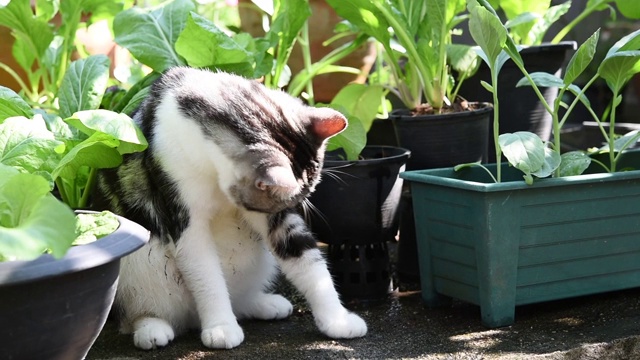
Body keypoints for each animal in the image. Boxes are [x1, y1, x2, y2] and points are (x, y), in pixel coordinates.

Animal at [92, 67, 368, 348]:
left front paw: (337, 320)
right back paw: (151, 328)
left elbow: (307, 259)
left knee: (240, 299)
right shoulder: (184, 219)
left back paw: (263, 303)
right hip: (137, 265)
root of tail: (191, 319)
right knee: (136, 313)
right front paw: (221, 326)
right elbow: (207, 275)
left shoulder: (278, 221)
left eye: (291, 206)